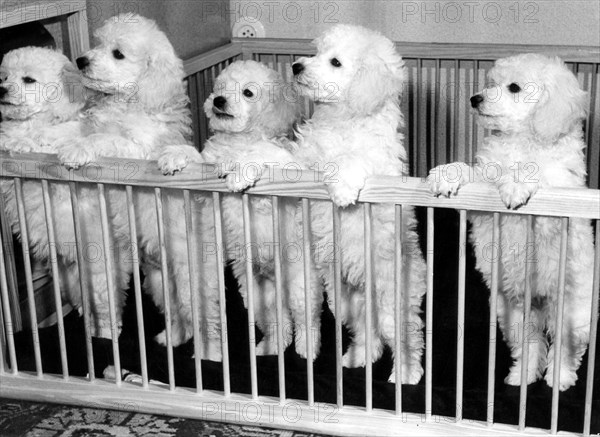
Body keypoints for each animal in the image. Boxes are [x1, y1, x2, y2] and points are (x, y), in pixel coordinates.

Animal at [0, 47, 123, 336]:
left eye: (29, 80)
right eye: (5, 77)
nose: (0, 90)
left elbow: (47, 143)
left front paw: (23, 143)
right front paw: (15, 139)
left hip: (97, 269)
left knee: (106, 302)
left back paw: (106, 332)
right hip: (71, 277)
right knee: (83, 299)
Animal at [157, 61, 322, 360]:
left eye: (248, 92)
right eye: (220, 87)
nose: (219, 101)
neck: (238, 140)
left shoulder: (286, 171)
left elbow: (260, 154)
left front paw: (238, 170)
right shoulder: (205, 193)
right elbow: (198, 158)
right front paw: (175, 154)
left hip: (301, 285)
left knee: (307, 320)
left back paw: (307, 350)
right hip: (257, 295)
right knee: (279, 323)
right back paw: (272, 347)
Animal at [290, 25, 426, 384]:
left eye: (335, 62)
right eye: (317, 52)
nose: (296, 66)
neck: (342, 118)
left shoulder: (378, 162)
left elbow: (352, 159)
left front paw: (341, 189)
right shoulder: (304, 158)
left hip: (395, 300)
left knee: (406, 337)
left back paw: (407, 374)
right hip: (346, 303)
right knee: (369, 333)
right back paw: (359, 358)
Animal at [428, 52, 592, 390]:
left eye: (514, 87)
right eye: (490, 83)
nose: (475, 98)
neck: (522, 139)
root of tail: (539, 302)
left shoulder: (560, 201)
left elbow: (536, 176)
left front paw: (517, 184)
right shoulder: (481, 202)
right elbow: (473, 173)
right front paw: (447, 174)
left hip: (573, 312)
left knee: (567, 349)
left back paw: (559, 378)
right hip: (512, 312)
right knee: (530, 345)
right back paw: (522, 376)